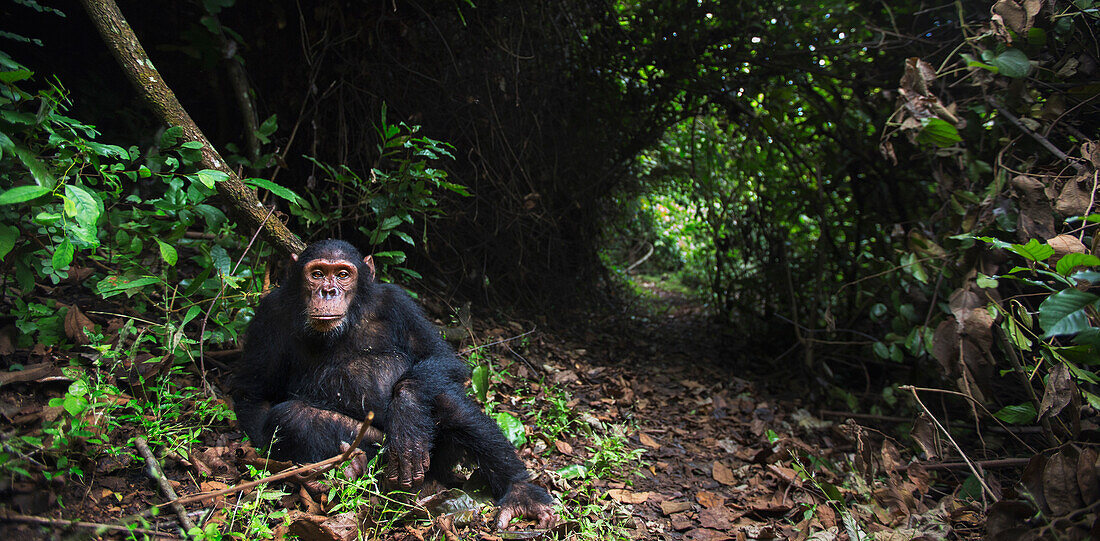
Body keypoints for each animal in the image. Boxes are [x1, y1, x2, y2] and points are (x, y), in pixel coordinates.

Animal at [233, 239, 558, 527]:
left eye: (343, 274)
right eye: (317, 274)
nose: (328, 291)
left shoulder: (397, 301)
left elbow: (439, 356)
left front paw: (407, 415)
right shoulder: (269, 314)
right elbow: (254, 394)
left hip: (435, 460)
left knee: (445, 398)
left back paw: (520, 492)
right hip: (379, 454)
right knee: (291, 417)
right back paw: (350, 469)